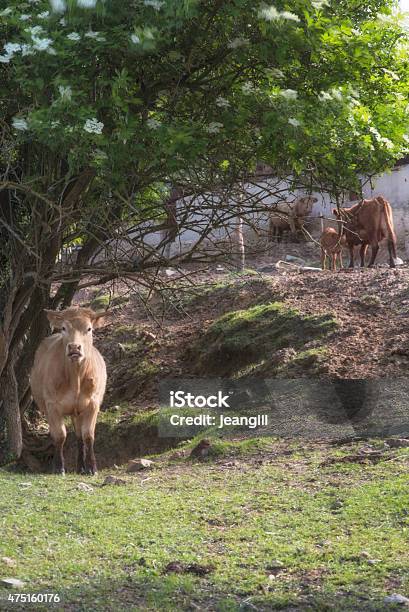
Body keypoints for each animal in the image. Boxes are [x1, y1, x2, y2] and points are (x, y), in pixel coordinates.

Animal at [30, 308, 107, 476]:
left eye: (89, 329)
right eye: (64, 328)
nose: (74, 347)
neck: (75, 377)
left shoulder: (93, 403)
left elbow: (88, 435)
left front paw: (92, 468)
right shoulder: (52, 405)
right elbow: (59, 435)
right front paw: (59, 467)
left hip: (77, 411)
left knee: (79, 436)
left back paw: (81, 467)